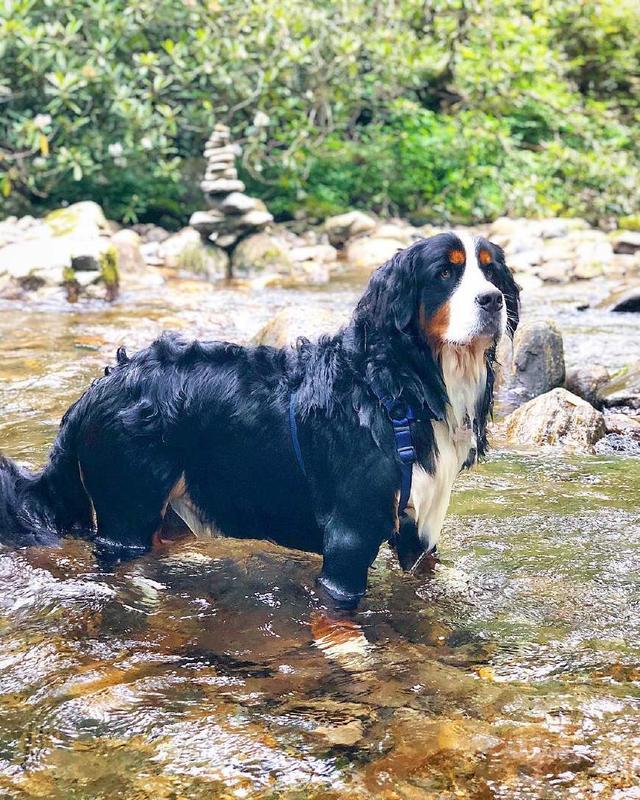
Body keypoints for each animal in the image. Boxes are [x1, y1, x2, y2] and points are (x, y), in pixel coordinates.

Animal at [0, 231, 516, 608]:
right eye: (445, 272)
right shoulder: (350, 534)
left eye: (490, 271)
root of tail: (99, 387)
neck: (395, 387)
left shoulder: (417, 527)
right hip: (128, 513)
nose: (493, 300)